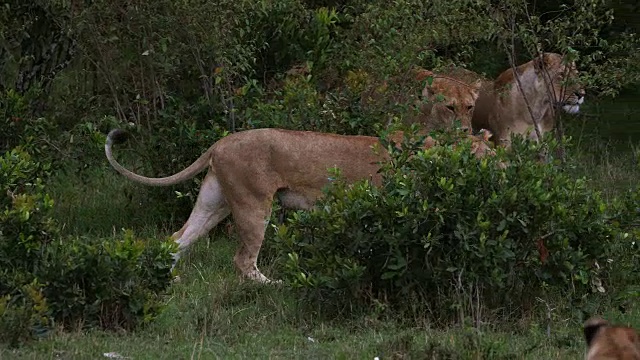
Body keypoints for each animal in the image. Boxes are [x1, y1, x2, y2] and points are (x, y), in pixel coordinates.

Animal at [105, 128, 496, 282]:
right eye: (492, 155)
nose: (506, 166)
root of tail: (221, 141)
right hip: (253, 203)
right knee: (242, 261)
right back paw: (275, 284)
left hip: (215, 202)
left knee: (176, 239)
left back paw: (166, 279)